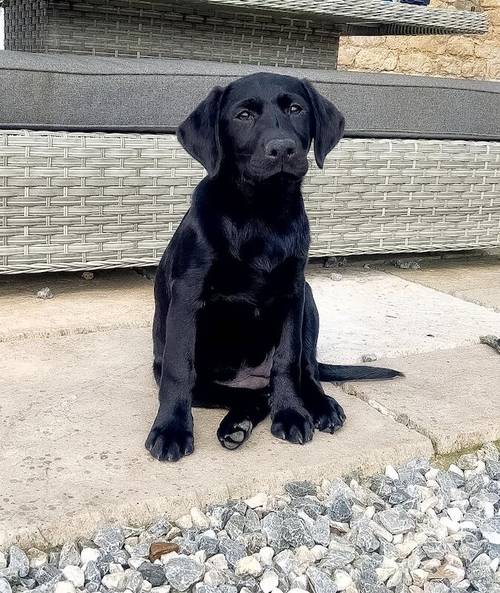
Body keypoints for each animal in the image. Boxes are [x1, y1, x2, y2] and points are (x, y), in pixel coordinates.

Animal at [145, 73, 398, 462]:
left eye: (296, 109)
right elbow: (178, 369)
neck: (260, 214)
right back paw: (236, 425)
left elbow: (287, 362)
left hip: (309, 299)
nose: (282, 149)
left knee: (306, 369)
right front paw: (171, 429)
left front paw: (292, 412)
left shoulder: (292, 293)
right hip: (207, 380)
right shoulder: (187, 296)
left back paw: (320, 406)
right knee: (246, 394)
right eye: (243, 115)